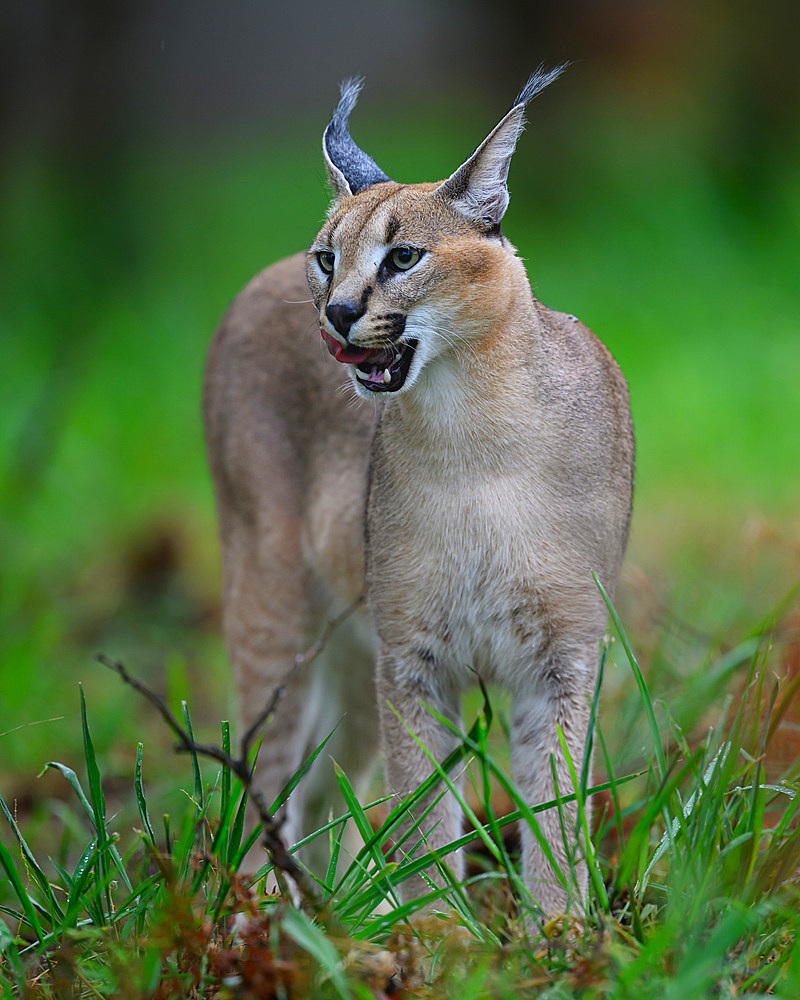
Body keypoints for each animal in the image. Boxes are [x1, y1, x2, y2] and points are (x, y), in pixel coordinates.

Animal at [203, 66, 636, 916]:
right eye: (327, 258)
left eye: (404, 256)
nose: (339, 312)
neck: (476, 432)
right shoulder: (412, 657)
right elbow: (423, 808)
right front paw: (437, 930)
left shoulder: (563, 653)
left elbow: (556, 806)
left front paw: (560, 929)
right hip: (274, 603)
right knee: (266, 779)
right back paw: (259, 918)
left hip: (351, 648)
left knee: (322, 789)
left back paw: (326, 914)